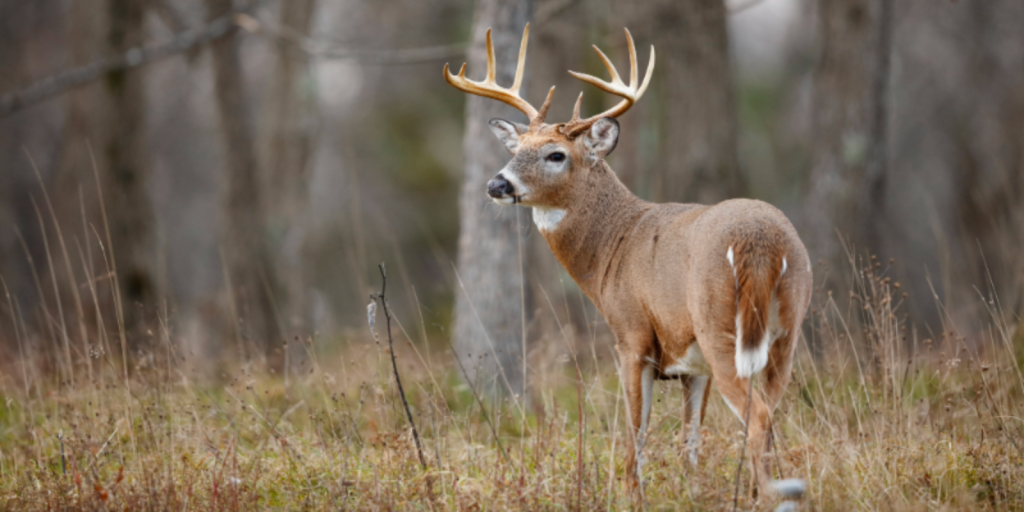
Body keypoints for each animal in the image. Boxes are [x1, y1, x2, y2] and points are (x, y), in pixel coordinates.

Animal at [444, 25, 813, 497]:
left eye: (556, 154)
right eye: (517, 148)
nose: (496, 184)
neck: (612, 249)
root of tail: (760, 242)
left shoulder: (631, 335)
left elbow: (635, 432)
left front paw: (630, 494)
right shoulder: (692, 364)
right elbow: (690, 441)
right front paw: (690, 494)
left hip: (720, 327)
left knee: (759, 418)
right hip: (786, 330)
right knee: (770, 413)